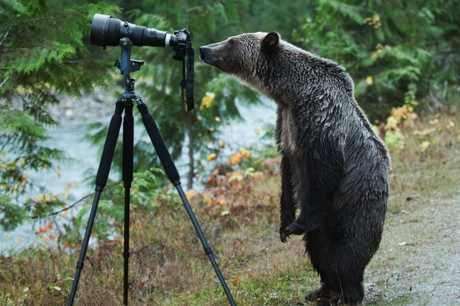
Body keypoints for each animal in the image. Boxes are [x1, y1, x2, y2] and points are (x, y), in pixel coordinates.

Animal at [199, 32, 390, 304]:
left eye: (231, 41)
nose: (204, 48)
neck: (291, 93)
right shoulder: (286, 124)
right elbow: (287, 174)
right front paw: (284, 225)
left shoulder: (320, 119)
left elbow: (323, 170)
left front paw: (297, 223)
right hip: (329, 218)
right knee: (317, 248)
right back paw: (323, 289)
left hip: (352, 205)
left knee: (342, 250)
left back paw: (347, 293)